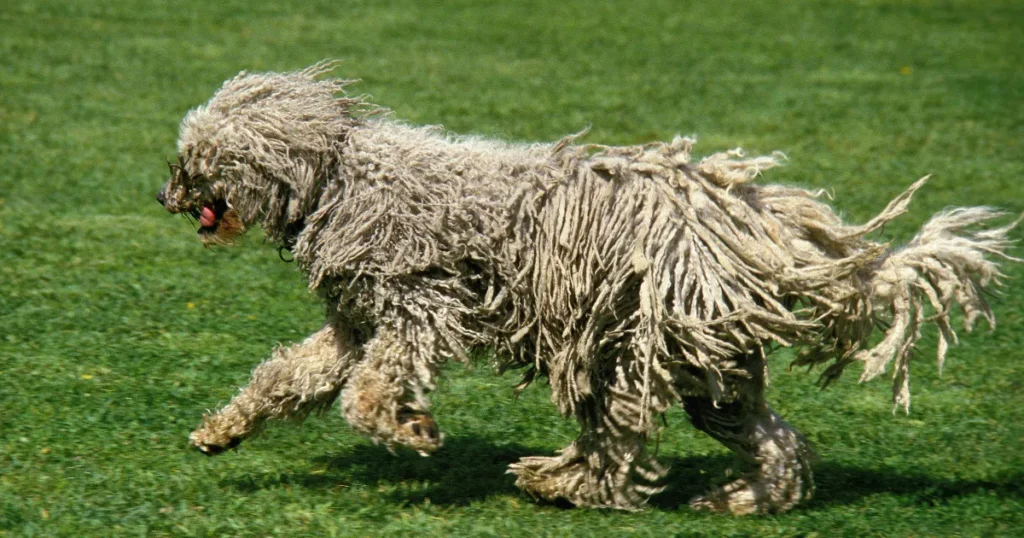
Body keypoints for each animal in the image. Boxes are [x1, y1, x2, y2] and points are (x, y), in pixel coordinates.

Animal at [155, 63, 1019, 512]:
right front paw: (223, 429)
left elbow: (368, 391)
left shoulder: (420, 305)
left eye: (200, 156)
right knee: (770, 437)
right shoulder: (355, 322)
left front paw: (412, 430)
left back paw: (562, 479)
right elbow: (289, 376)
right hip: (709, 362)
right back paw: (746, 497)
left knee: (621, 438)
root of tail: (758, 222)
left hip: (638, 343)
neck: (337, 177)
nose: (164, 194)